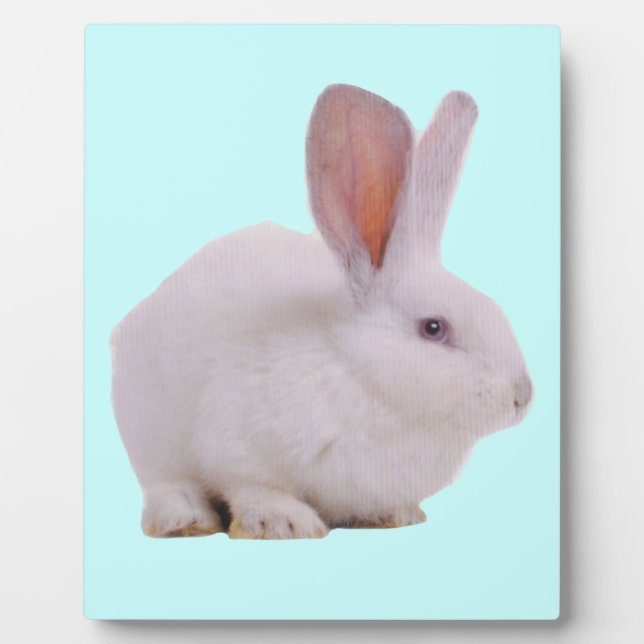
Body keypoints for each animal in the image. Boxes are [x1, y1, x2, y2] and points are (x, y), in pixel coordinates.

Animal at [110, 84, 533, 540]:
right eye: (434, 328)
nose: (523, 395)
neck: (358, 373)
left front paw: (394, 515)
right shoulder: (235, 446)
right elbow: (254, 487)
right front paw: (284, 522)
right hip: (149, 432)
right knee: (165, 484)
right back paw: (185, 519)